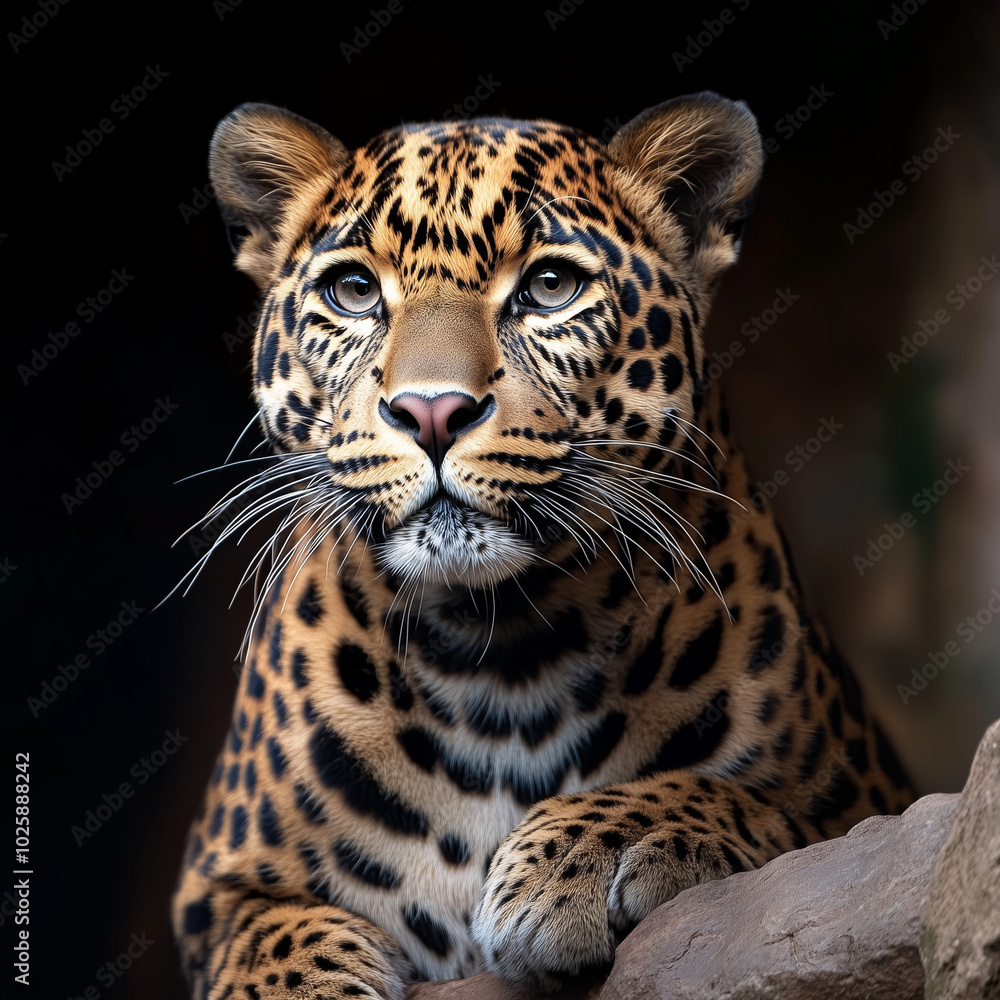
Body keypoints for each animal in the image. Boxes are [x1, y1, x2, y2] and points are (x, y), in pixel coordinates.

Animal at [171, 93, 914, 999]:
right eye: (352, 291)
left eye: (550, 287)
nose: (431, 412)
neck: (500, 655)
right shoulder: (213, 888)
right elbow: (266, 938)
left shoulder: (861, 802)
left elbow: (749, 801)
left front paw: (586, 853)